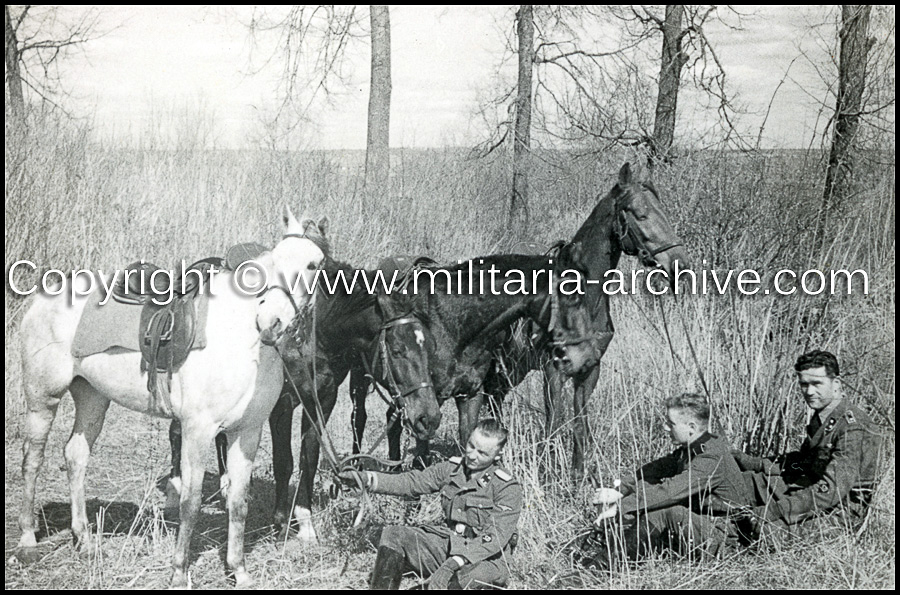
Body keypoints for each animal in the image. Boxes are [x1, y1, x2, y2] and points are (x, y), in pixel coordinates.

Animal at [16, 207, 326, 588]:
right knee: (33, 460)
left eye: (313, 264)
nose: (271, 322)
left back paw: (84, 540)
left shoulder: (247, 433)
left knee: (75, 457)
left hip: (92, 397)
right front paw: (179, 571)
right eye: (272, 262)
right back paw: (27, 540)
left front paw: (238, 570)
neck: (240, 341)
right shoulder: (198, 430)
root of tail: (42, 300)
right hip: (42, 398)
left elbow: (239, 502)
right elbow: (190, 502)